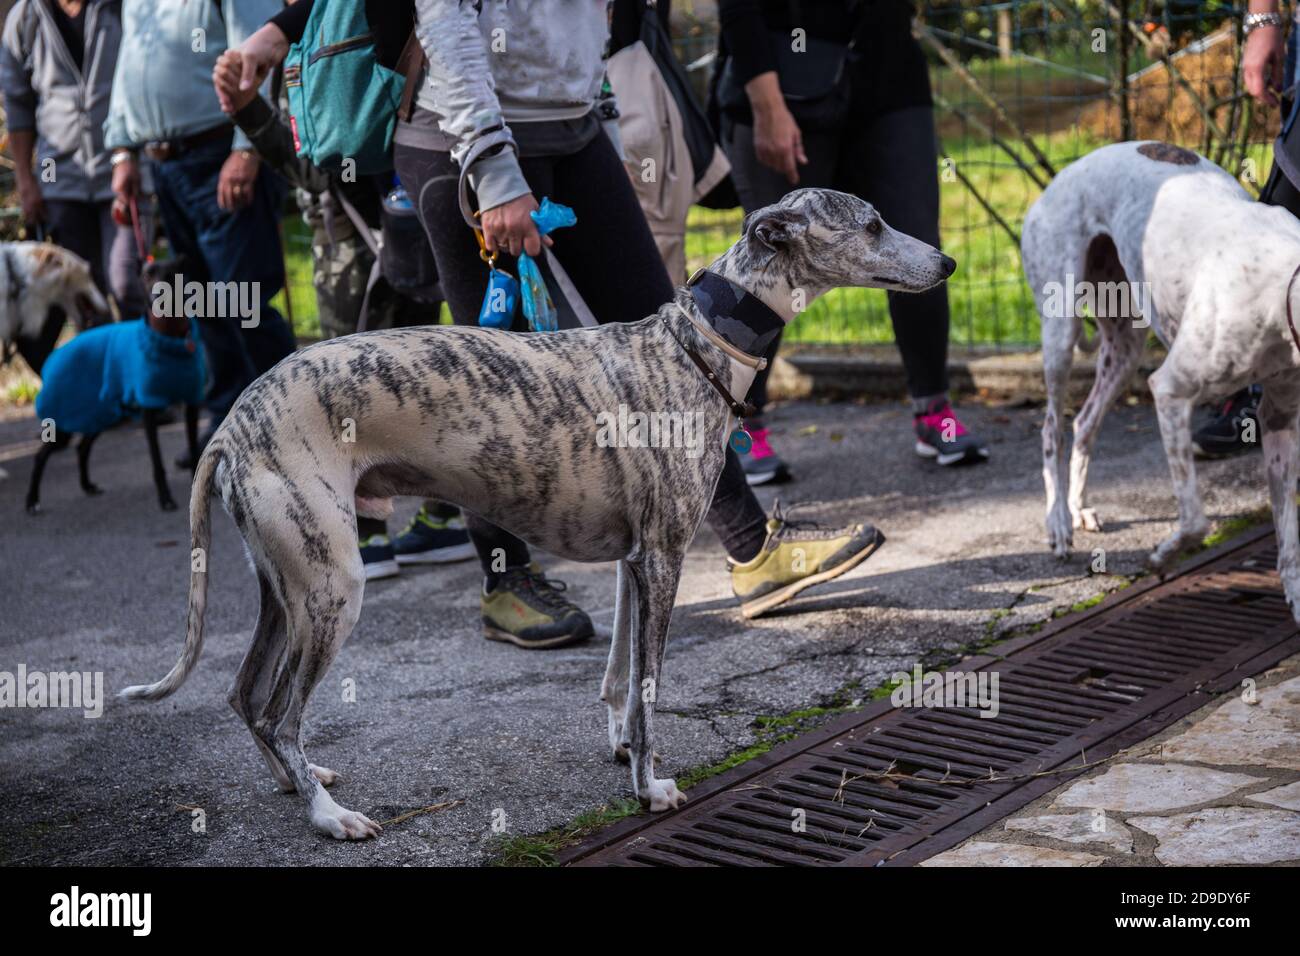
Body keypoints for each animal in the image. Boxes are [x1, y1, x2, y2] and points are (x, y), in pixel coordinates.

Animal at [26, 274, 204, 515]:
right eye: (147, 276)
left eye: (174, 274)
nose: (158, 295)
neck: (169, 337)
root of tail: (56, 355)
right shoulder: (149, 411)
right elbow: (158, 462)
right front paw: (166, 499)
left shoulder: (191, 405)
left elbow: (194, 451)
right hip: (66, 421)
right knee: (40, 456)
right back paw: (32, 501)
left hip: (101, 414)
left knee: (82, 448)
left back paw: (87, 486)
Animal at [122, 188, 956, 842]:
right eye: (873, 223)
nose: (947, 264)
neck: (693, 346)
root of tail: (234, 423)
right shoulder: (663, 558)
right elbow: (651, 688)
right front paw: (650, 789)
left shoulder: (633, 560)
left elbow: (621, 677)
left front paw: (622, 749)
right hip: (331, 588)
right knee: (280, 713)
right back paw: (329, 817)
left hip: (287, 583)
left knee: (245, 698)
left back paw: (300, 784)